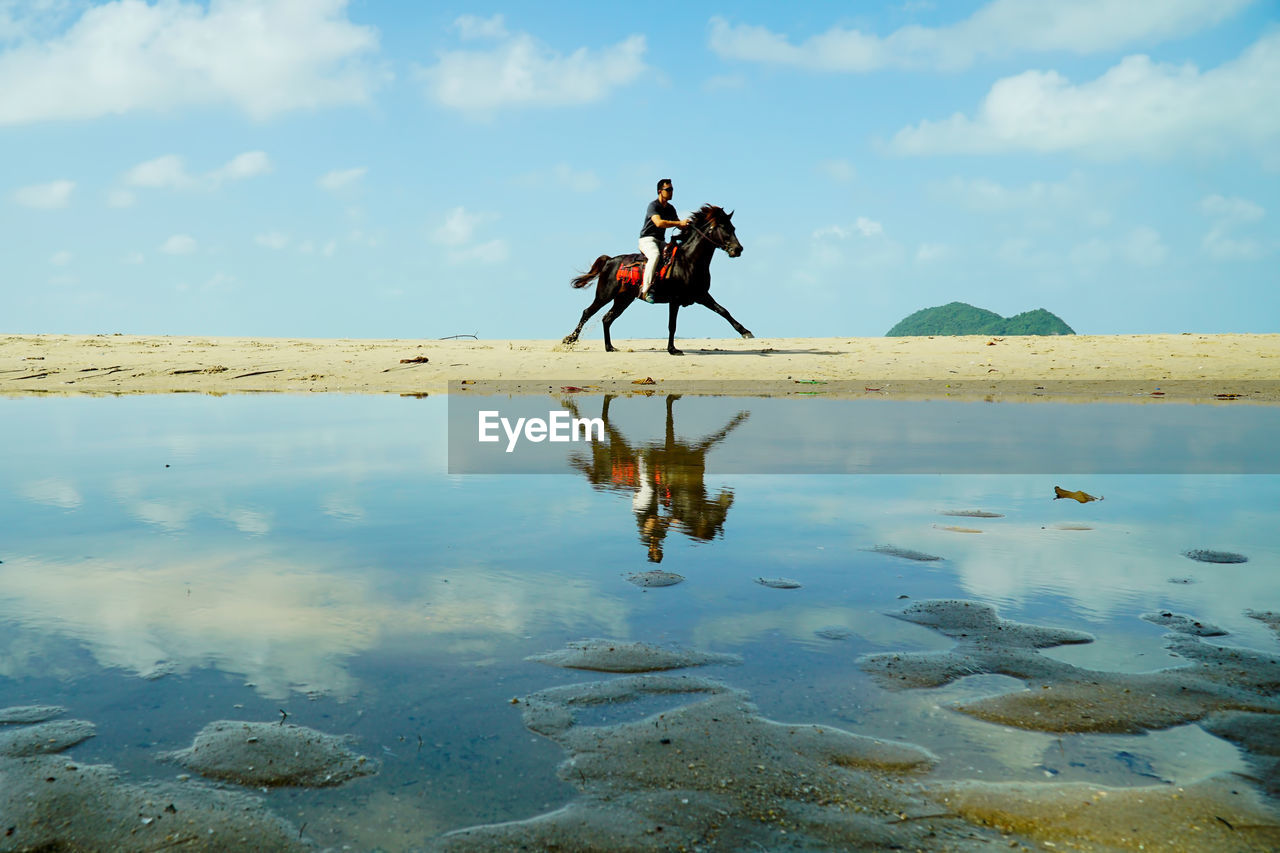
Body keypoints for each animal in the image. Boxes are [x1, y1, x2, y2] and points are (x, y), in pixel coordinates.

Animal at [558, 203, 747, 356]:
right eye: (723, 227)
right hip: (605, 295)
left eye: (733, 228)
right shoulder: (675, 300)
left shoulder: (701, 295)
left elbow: (723, 311)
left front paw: (745, 331)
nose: (738, 249)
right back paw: (570, 340)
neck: (688, 261)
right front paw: (672, 350)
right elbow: (672, 325)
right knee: (587, 312)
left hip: (623, 299)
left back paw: (609, 347)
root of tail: (610, 261)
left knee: (607, 318)